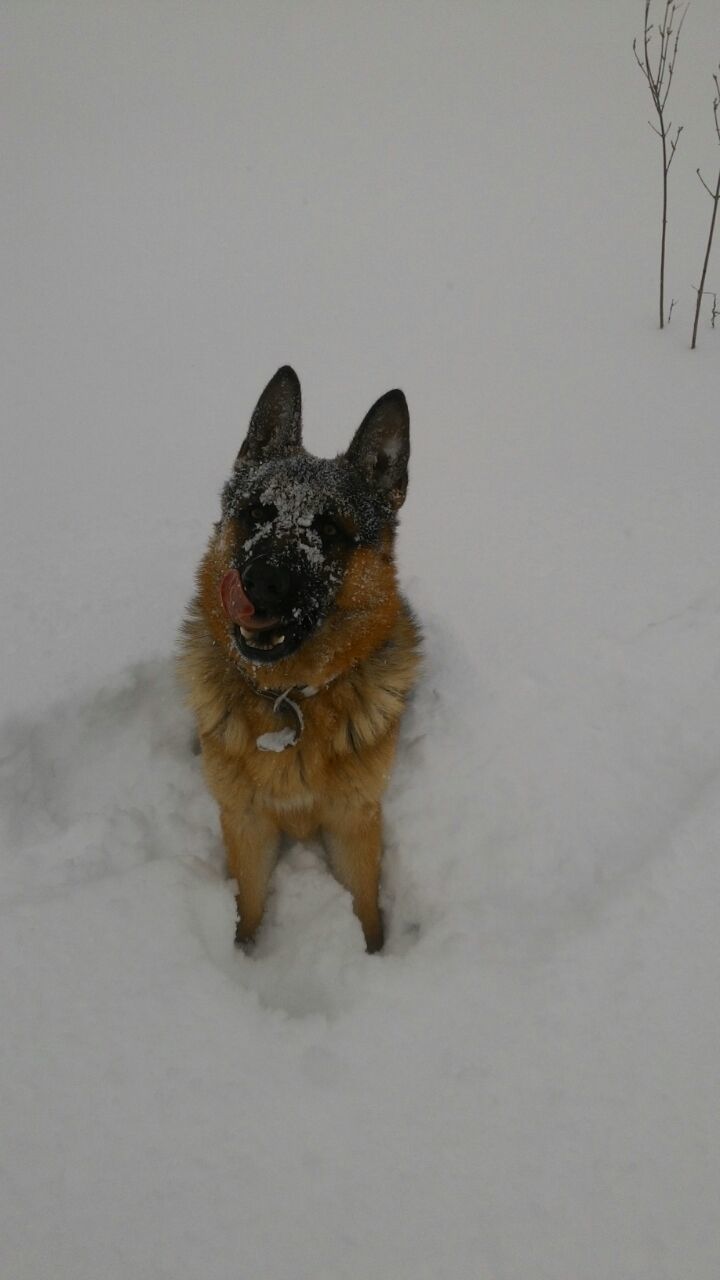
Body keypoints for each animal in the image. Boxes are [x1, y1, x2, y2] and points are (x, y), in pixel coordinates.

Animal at [175, 363, 417, 952]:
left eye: (329, 530)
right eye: (257, 512)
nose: (261, 581)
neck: (291, 697)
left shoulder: (355, 821)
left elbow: (367, 911)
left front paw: (373, 958)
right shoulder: (245, 822)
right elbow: (249, 907)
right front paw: (243, 957)